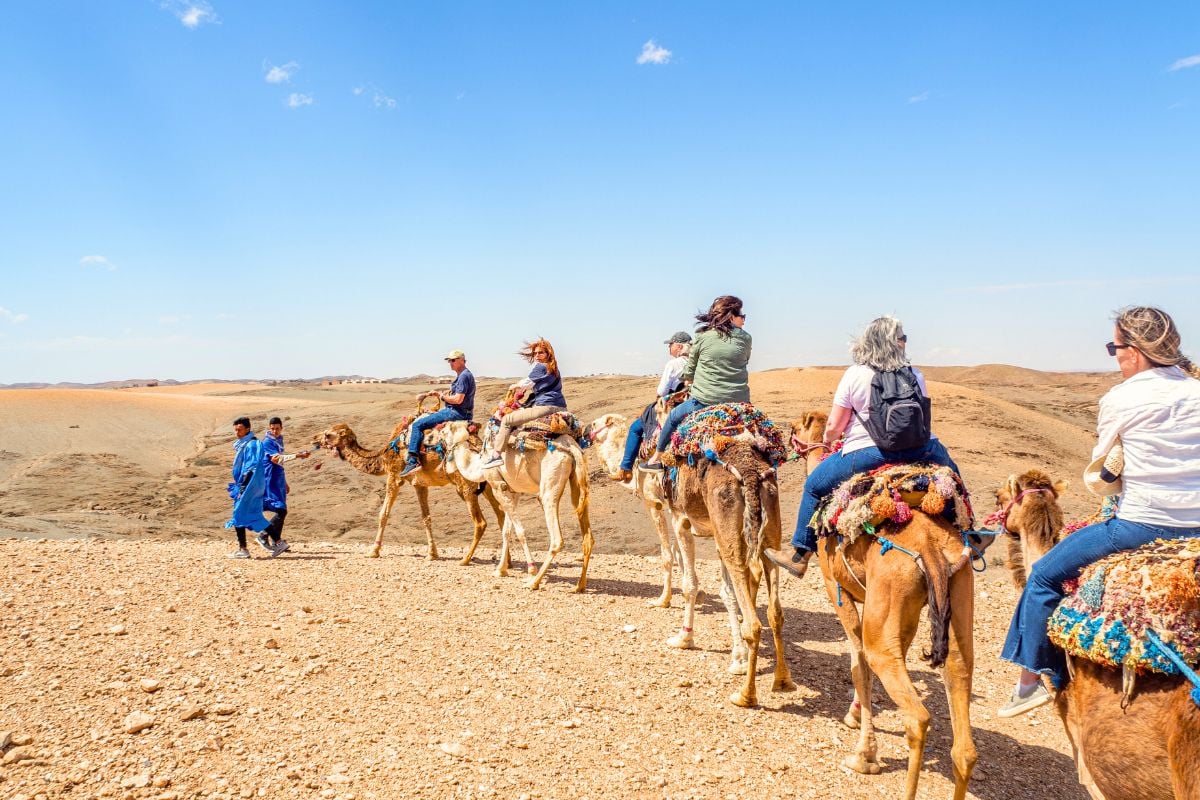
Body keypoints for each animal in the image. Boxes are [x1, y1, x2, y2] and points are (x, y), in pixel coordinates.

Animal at [314, 419, 501, 563]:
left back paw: (465, 560)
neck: (384, 455)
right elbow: (426, 517)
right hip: (488, 484)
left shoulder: (394, 475)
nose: (314, 438)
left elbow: (383, 514)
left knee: (481, 522)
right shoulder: (419, 483)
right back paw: (504, 563)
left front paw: (373, 551)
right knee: (501, 515)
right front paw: (432, 554)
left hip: (465, 485)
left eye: (328, 434)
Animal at [439, 419, 592, 594]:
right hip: (577, 480)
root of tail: (571, 445)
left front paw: (530, 569)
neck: (479, 465)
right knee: (587, 536)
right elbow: (506, 531)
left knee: (556, 538)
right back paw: (579, 586)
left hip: (549, 484)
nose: (432, 438)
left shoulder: (497, 487)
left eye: (443, 431)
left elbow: (520, 532)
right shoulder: (513, 491)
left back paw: (534, 582)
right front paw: (500, 570)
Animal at [792, 417, 979, 800]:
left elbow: (859, 664)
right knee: (963, 731)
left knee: (915, 715)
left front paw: (864, 755)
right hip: (957, 590)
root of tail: (931, 550)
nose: (787, 438)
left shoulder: (838, 591)